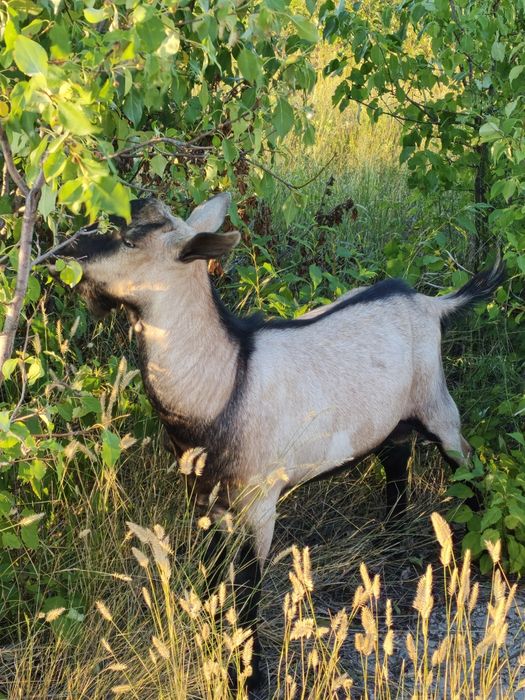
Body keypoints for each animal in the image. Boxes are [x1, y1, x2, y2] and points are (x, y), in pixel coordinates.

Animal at [57, 193, 504, 689]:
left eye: (130, 240)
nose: (66, 251)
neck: (227, 380)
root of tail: (430, 304)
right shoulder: (205, 499)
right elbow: (213, 578)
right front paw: (214, 645)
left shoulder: (259, 505)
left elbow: (248, 588)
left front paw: (248, 677)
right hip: (391, 423)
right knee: (396, 462)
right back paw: (390, 544)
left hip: (437, 406)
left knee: (466, 462)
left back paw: (485, 561)